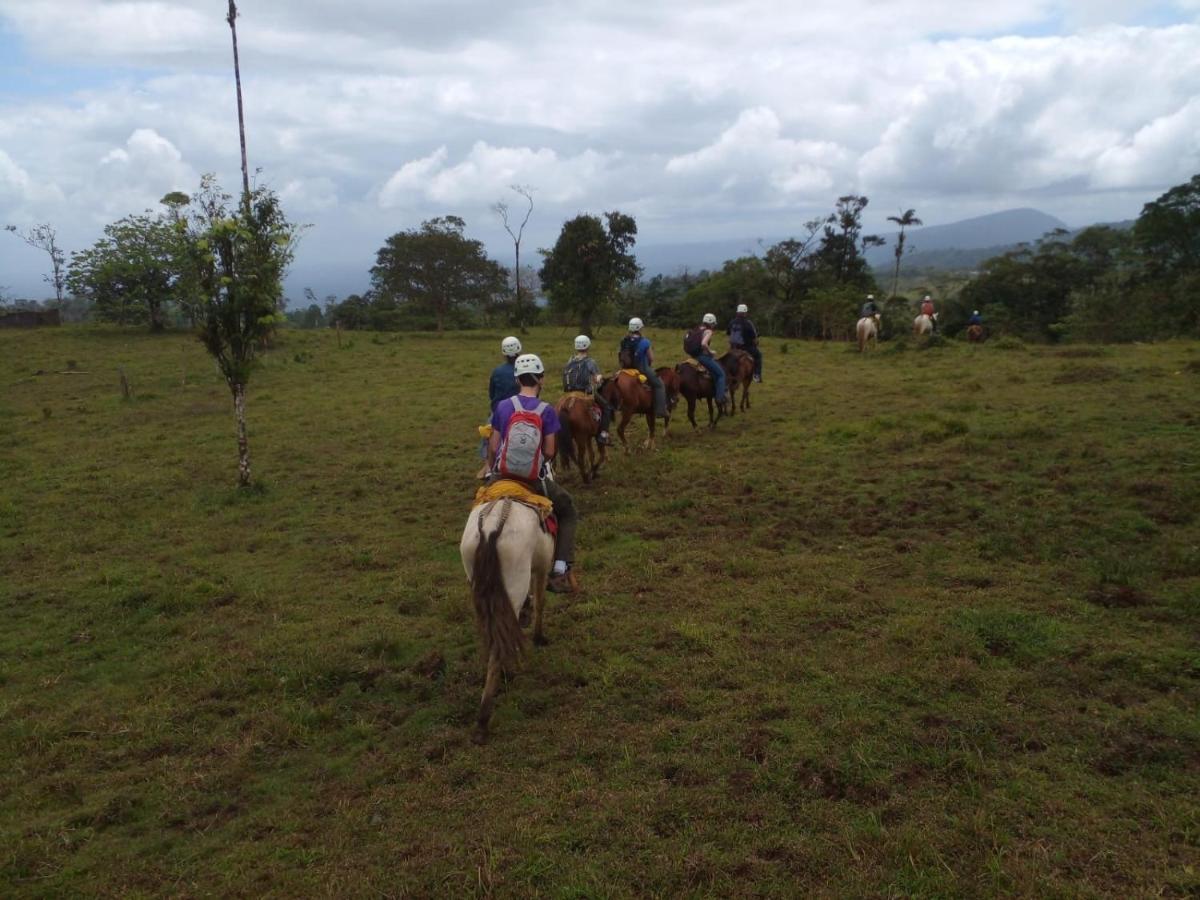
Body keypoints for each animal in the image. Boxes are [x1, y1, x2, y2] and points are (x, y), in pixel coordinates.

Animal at [456, 496, 554, 744]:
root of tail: (490, 529)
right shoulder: (542, 566)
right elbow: (540, 600)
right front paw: (539, 636)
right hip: (514, 583)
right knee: (499, 644)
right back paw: (483, 720)